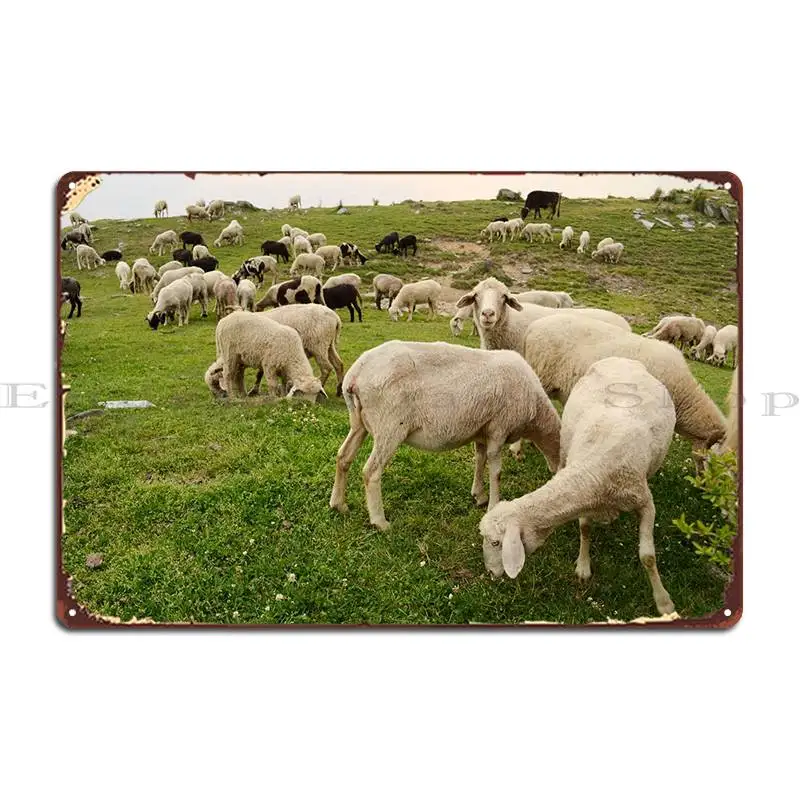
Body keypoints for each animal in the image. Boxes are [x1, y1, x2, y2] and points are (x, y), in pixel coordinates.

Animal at [329, 340, 562, 531]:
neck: (536, 412)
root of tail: (356, 375)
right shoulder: (499, 428)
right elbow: (496, 471)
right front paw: (494, 505)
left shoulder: (482, 430)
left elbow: (480, 460)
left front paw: (479, 495)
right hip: (390, 426)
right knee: (371, 471)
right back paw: (380, 521)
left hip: (359, 423)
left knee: (343, 457)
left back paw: (338, 504)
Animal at [478, 356, 678, 616]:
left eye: (495, 543)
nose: (491, 573)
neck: (594, 469)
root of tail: (620, 358)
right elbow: (584, 529)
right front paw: (583, 567)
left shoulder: (645, 502)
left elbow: (648, 557)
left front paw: (664, 602)